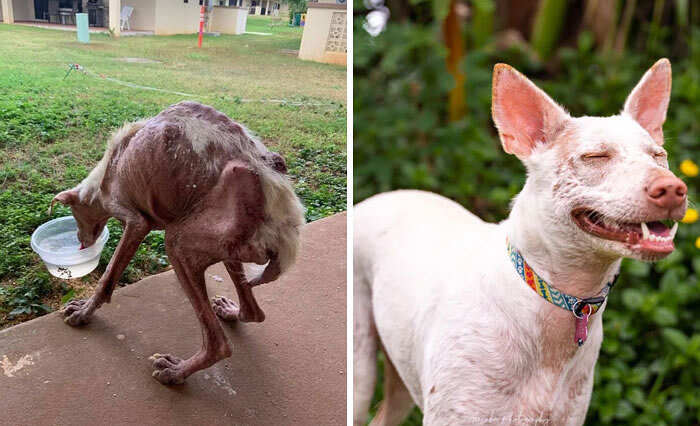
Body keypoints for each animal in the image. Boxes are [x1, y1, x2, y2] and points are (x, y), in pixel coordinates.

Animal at [47, 101, 302, 384]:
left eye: (73, 214)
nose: (81, 242)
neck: (105, 174)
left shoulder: (135, 221)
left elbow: (108, 278)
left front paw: (83, 312)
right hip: (228, 246)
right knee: (253, 312)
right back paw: (230, 311)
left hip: (179, 244)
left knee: (219, 345)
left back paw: (176, 371)